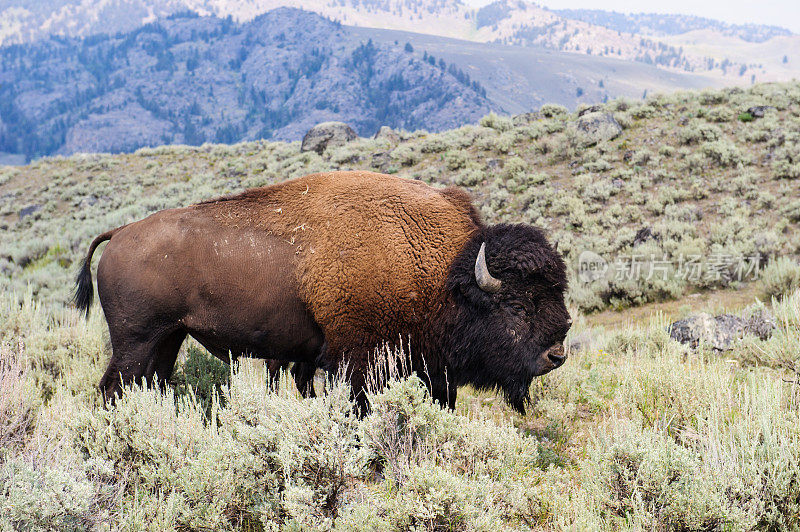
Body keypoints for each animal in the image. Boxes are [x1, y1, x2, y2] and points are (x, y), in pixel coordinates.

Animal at [75, 170, 572, 412]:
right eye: (516, 304)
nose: (557, 355)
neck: (446, 274)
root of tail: (120, 233)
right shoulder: (357, 364)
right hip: (136, 340)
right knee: (113, 388)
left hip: (168, 338)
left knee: (150, 383)